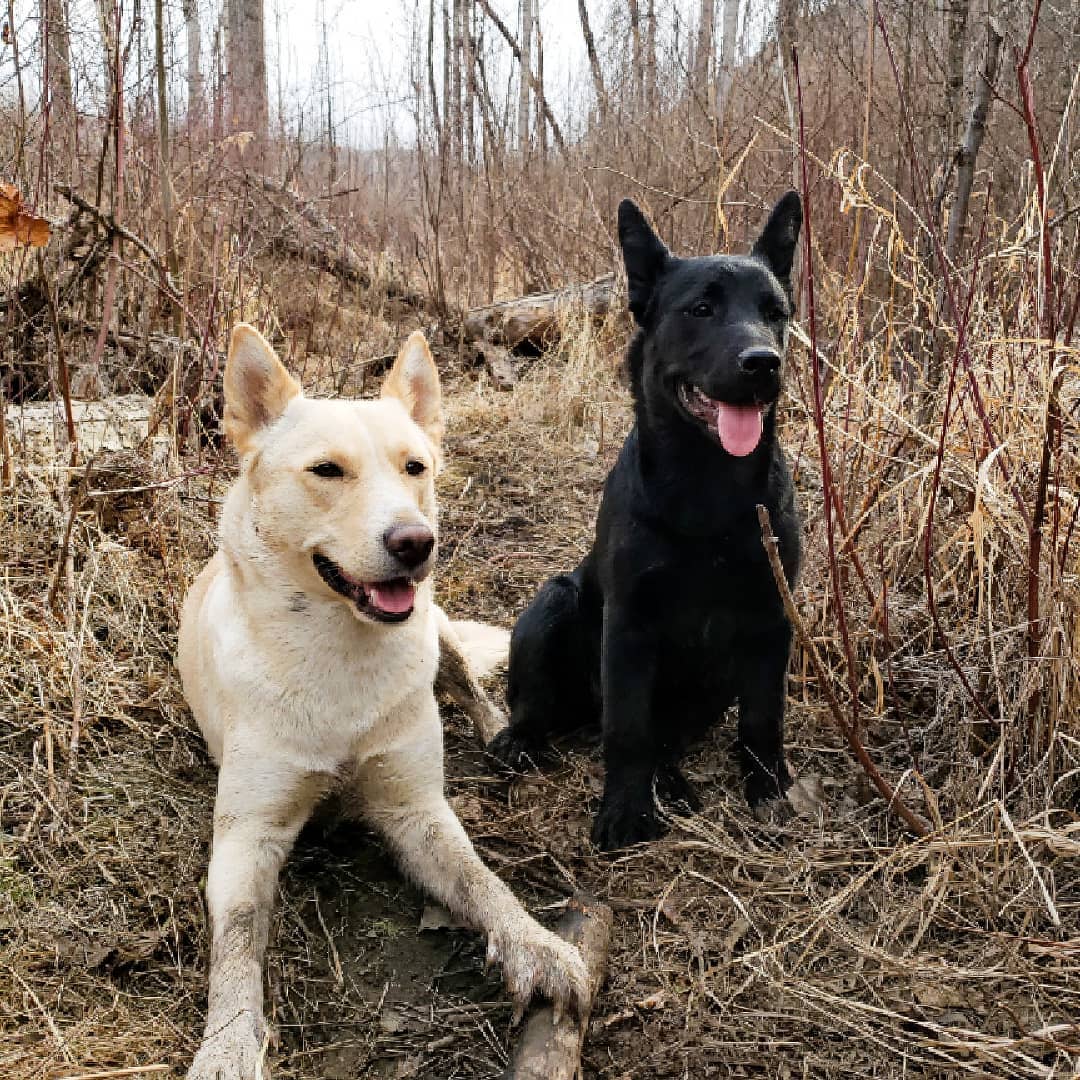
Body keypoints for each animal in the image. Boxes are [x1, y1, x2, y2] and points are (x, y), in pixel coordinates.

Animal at [177, 326, 587, 1080]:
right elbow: (239, 945)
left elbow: (482, 880)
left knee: (467, 682)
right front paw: (227, 1044)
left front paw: (534, 943)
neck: (341, 655)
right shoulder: (248, 834)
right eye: (327, 471)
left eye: (415, 467)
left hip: (440, 628)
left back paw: (499, 730)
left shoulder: (415, 809)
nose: (415, 542)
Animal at [488, 194, 803, 851]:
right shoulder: (630, 625)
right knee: (545, 707)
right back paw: (523, 738)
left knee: (670, 738)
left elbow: (763, 720)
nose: (764, 363)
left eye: (775, 313)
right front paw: (627, 810)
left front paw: (766, 790)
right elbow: (628, 729)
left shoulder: (771, 620)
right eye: (701, 309)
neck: (710, 488)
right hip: (552, 603)